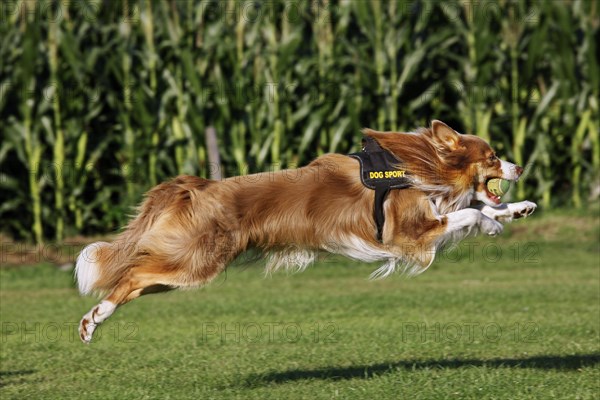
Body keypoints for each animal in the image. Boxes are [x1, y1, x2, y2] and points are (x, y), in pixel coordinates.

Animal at [76, 120, 540, 342]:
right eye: (493, 157)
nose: (520, 167)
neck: (422, 164)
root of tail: (200, 185)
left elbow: (477, 204)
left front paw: (517, 208)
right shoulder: (407, 235)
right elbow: (470, 214)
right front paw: (493, 224)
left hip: (184, 267)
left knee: (135, 280)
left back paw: (94, 321)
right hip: (196, 261)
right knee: (132, 273)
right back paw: (92, 319)